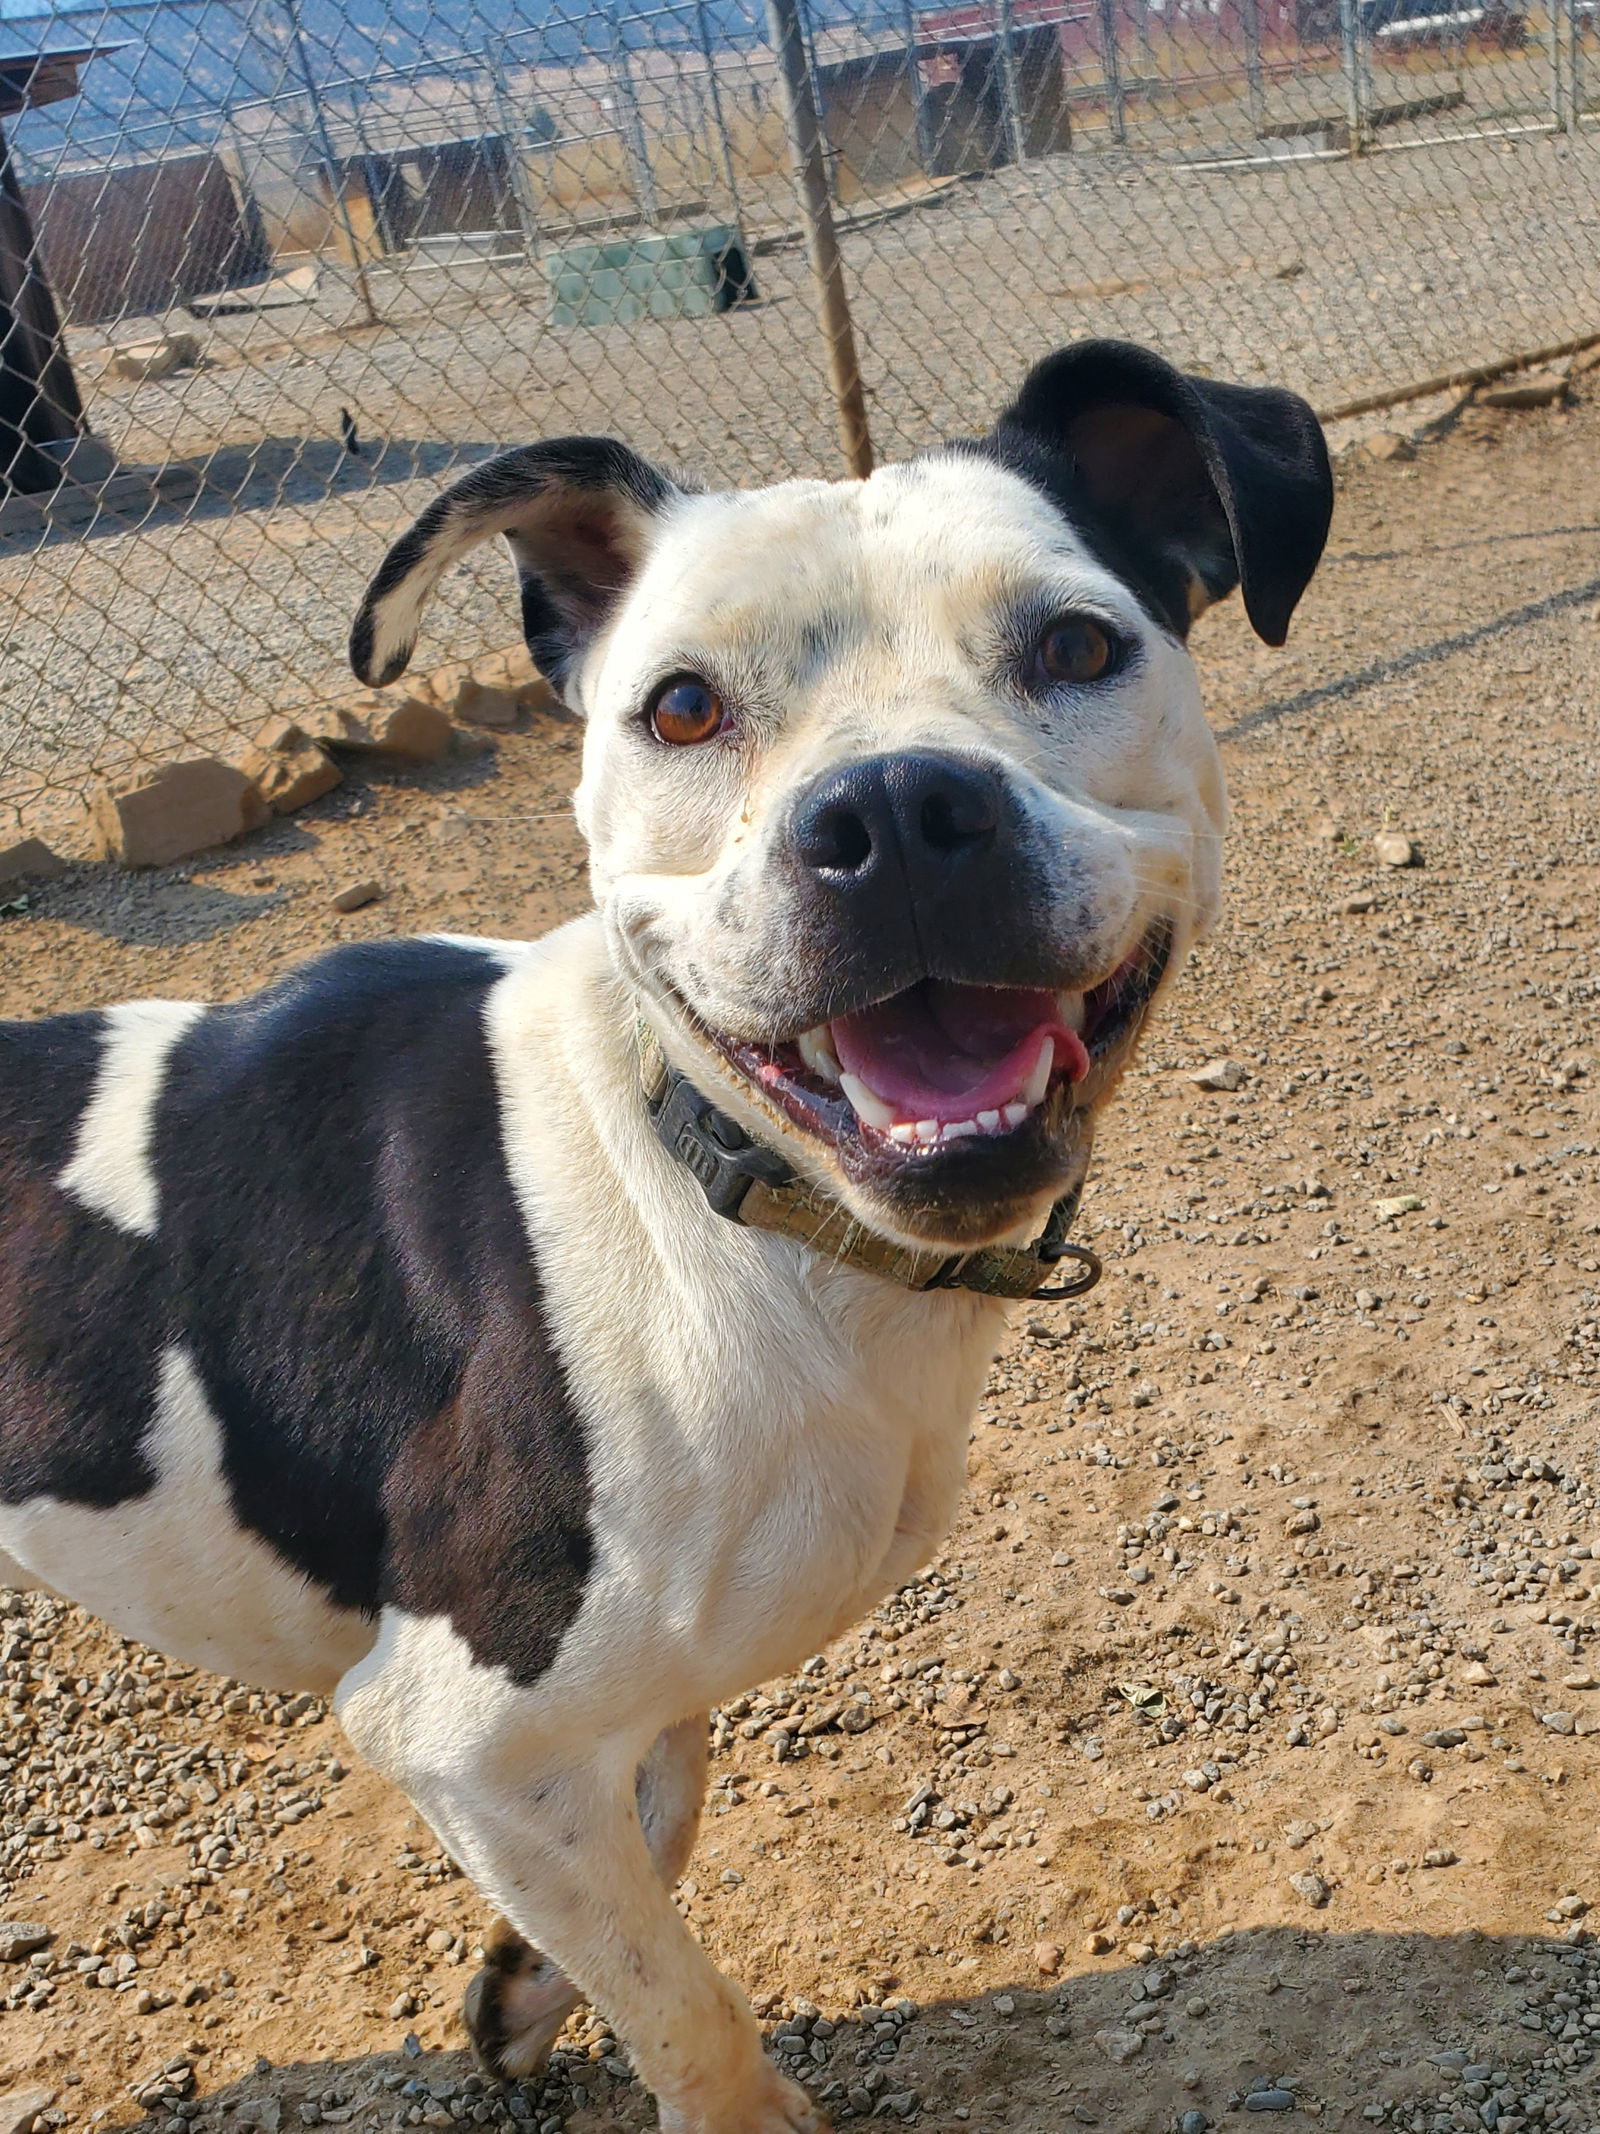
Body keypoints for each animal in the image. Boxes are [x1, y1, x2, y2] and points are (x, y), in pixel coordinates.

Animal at [0, 341, 1331, 2125]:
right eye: (681, 707)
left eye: (1075, 644)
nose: (898, 809)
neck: (726, 1189)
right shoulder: (459, 1722)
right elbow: (687, 2002)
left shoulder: (607, 1704)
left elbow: (667, 1793)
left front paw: (523, 1979)